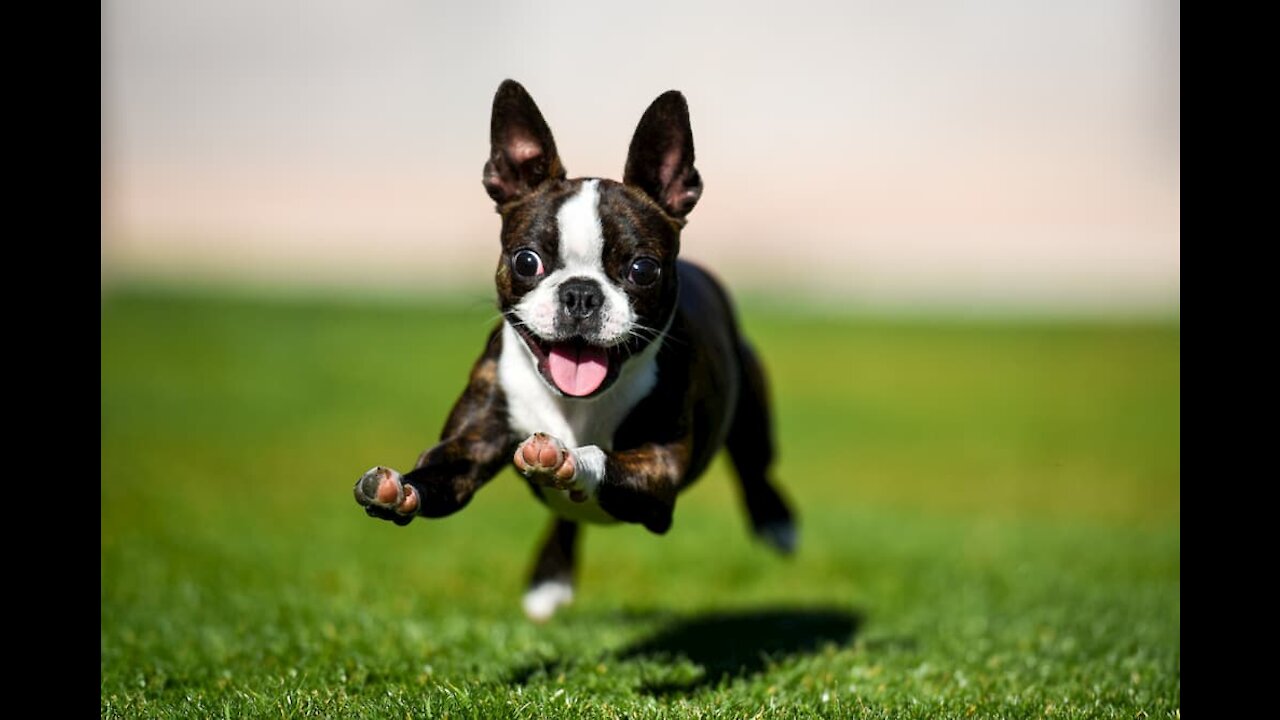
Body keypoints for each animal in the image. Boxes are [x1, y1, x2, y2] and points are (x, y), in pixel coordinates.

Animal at [350, 77, 788, 617]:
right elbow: (439, 471)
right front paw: (399, 489)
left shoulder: (659, 472)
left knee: (757, 467)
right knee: (567, 519)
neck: (574, 405)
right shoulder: (471, 446)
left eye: (643, 269)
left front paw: (567, 459)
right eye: (526, 260)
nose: (581, 293)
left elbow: (598, 455)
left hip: (752, 411)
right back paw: (550, 579)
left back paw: (778, 523)